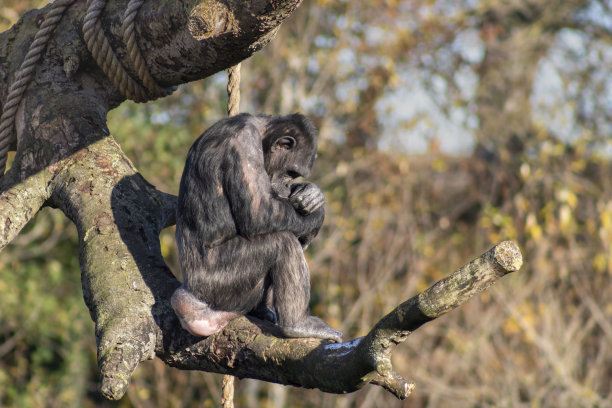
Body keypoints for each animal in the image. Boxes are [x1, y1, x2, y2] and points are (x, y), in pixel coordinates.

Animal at [172, 111, 342, 342]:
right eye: (291, 172)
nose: (288, 184)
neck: (261, 133)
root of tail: (191, 305)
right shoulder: (244, 143)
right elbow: (260, 211)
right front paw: (317, 215)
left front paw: (312, 194)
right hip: (218, 282)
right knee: (282, 242)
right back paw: (298, 324)